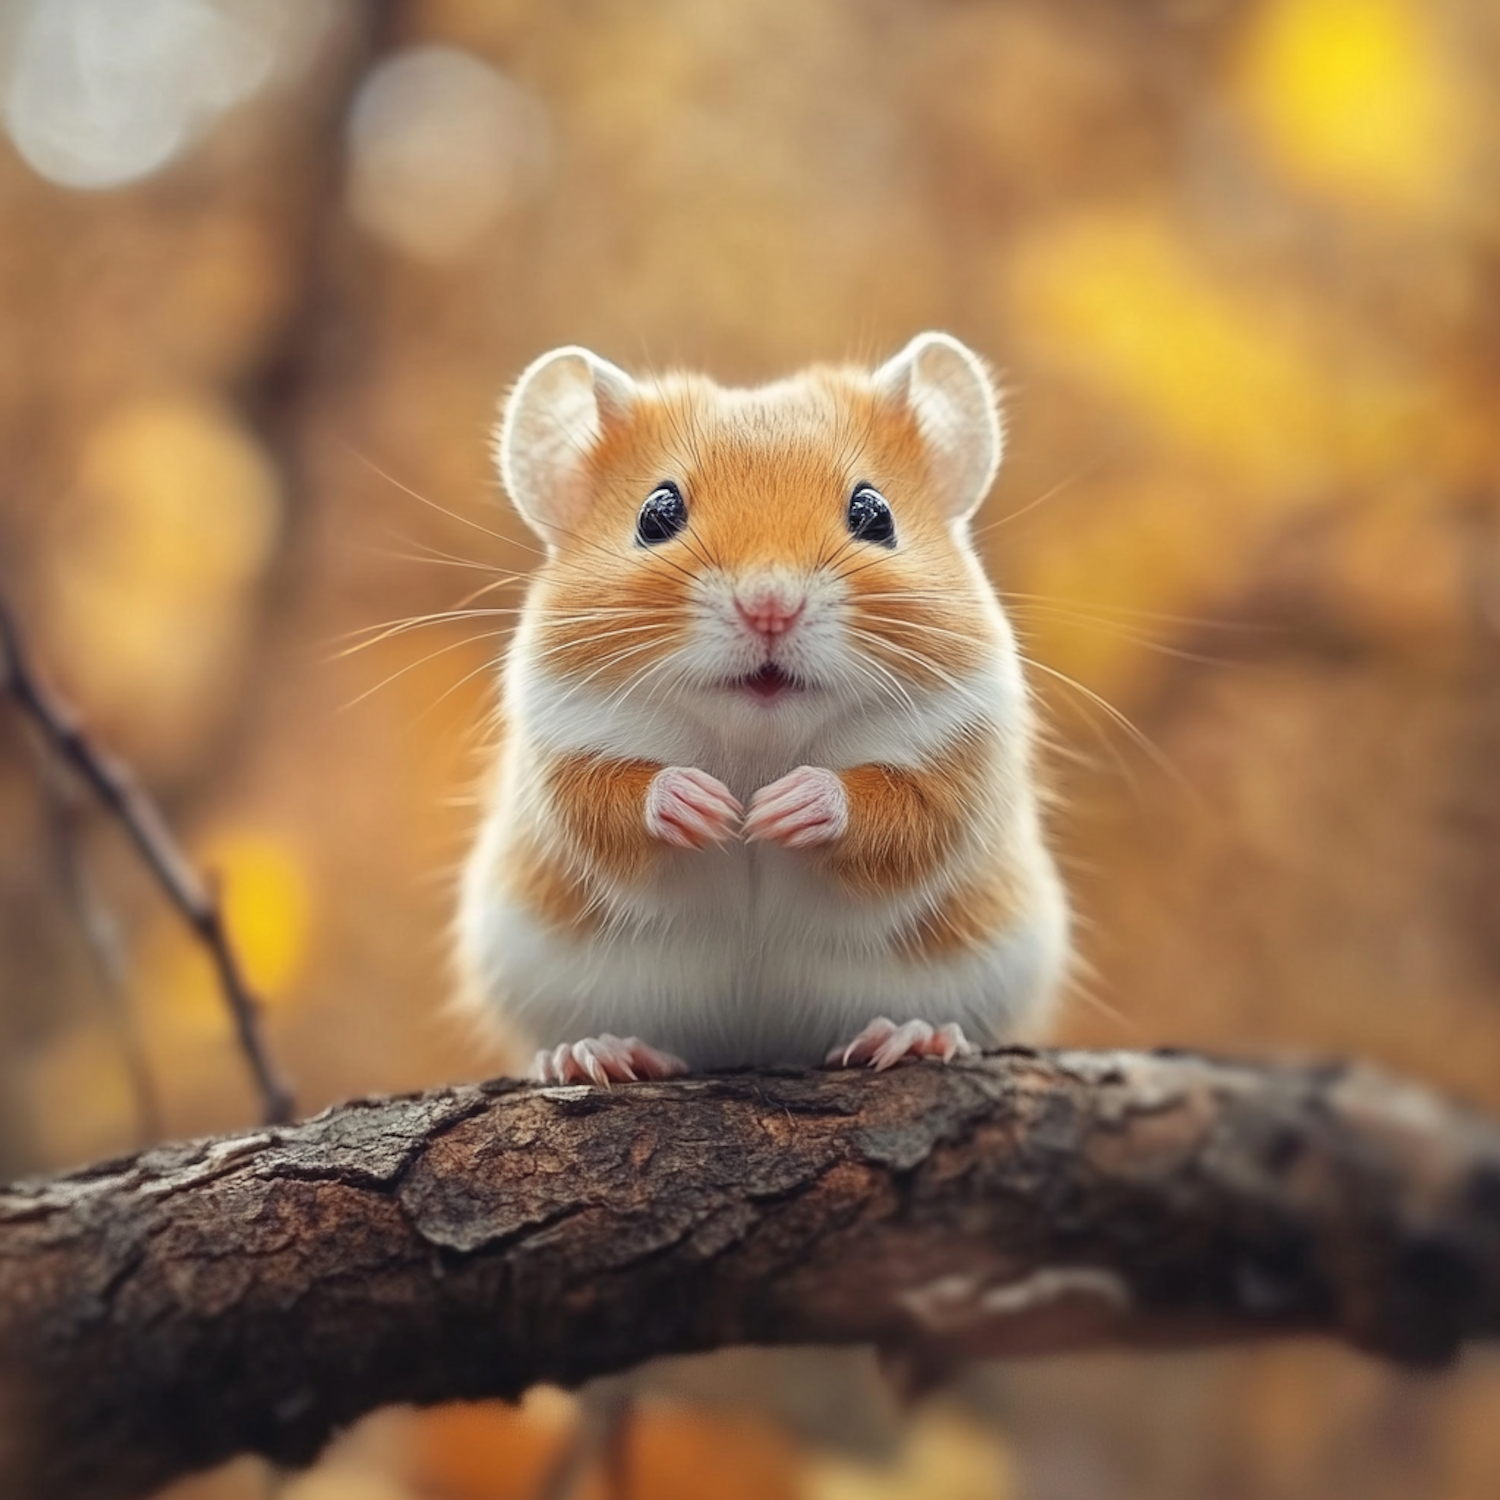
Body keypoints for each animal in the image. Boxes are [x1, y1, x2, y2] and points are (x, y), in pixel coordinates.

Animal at [456, 331, 1068, 1080]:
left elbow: (895, 812)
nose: (770, 605)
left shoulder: (953, 760)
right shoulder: (567, 748)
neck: (759, 737)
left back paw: (909, 1036)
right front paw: (711, 808)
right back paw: (596, 1053)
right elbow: (614, 801)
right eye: (656, 514)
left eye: (875, 514)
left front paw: (779, 809)